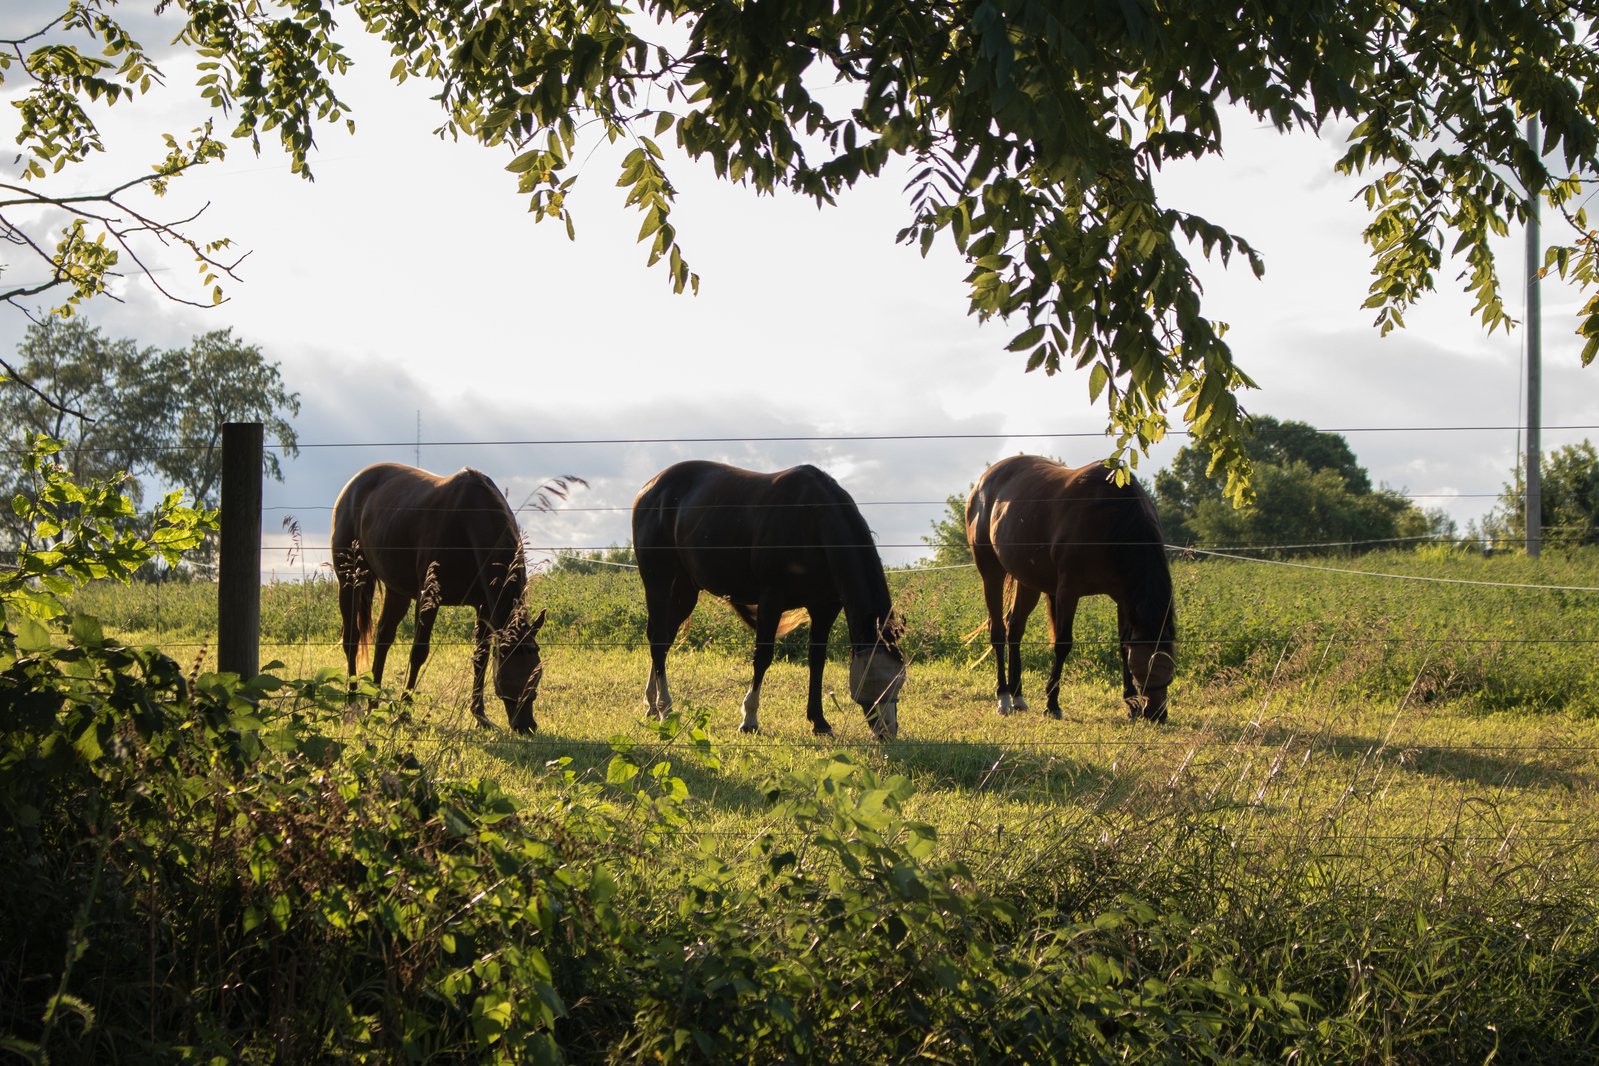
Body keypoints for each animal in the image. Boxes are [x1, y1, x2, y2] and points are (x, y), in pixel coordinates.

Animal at [327, 463, 546, 735]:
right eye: (510, 675)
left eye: (537, 672)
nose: (526, 725)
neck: (468, 523)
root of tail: (352, 486)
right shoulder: (429, 598)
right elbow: (418, 652)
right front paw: (404, 714)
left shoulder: (484, 606)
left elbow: (481, 656)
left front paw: (480, 716)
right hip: (349, 580)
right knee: (352, 639)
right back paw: (352, 704)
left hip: (397, 590)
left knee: (383, 637)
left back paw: (373, 704)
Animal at [630, 460, 908, 741]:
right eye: (875, 683)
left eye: (899, 682)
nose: (887, 732)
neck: (812, 520)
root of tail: (649, 489)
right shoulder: (771, 601)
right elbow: (763, 656)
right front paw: (749, 718)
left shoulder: (825, 607)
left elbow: (817, 660)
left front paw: (819, 721)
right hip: (659, 582)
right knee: (658, 641)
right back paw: (665, 708)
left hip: (685, 591)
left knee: (662, 639)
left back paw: (651, 703)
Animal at [959, 453, 1176, 722]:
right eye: (1146, 669)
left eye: (1169, 667)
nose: (1157, 714)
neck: (1110, 517)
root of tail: (983, 482)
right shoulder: (1068, 592)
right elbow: (1063, 644)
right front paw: (1052, 704)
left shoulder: (1123, 597)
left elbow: (1123, 644)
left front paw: (1131, 703)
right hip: (991, 572)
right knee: (998, 630)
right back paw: (1004, 697)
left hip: (1028, 580)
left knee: (1015, 627)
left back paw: (1018, 696)